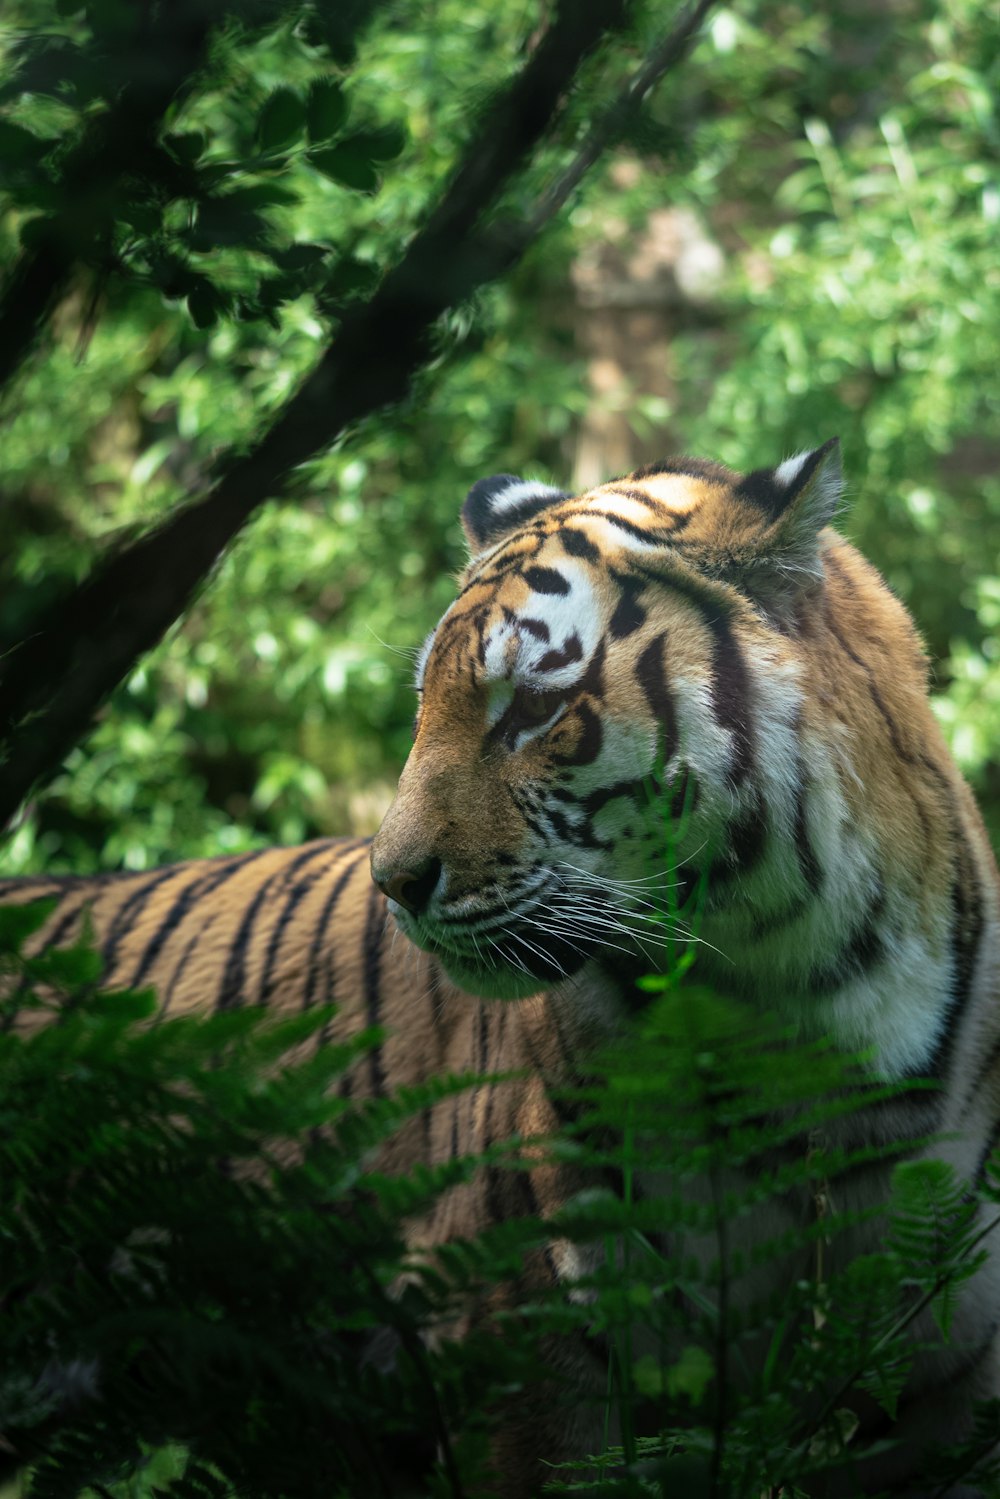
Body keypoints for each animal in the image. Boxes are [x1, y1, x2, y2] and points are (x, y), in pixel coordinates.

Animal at [5, 437, 1000, 1493]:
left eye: (531, 707)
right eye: (424, 706)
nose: (394, 882)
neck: (787, 993)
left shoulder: (948, 1375)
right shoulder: (536, 1361)